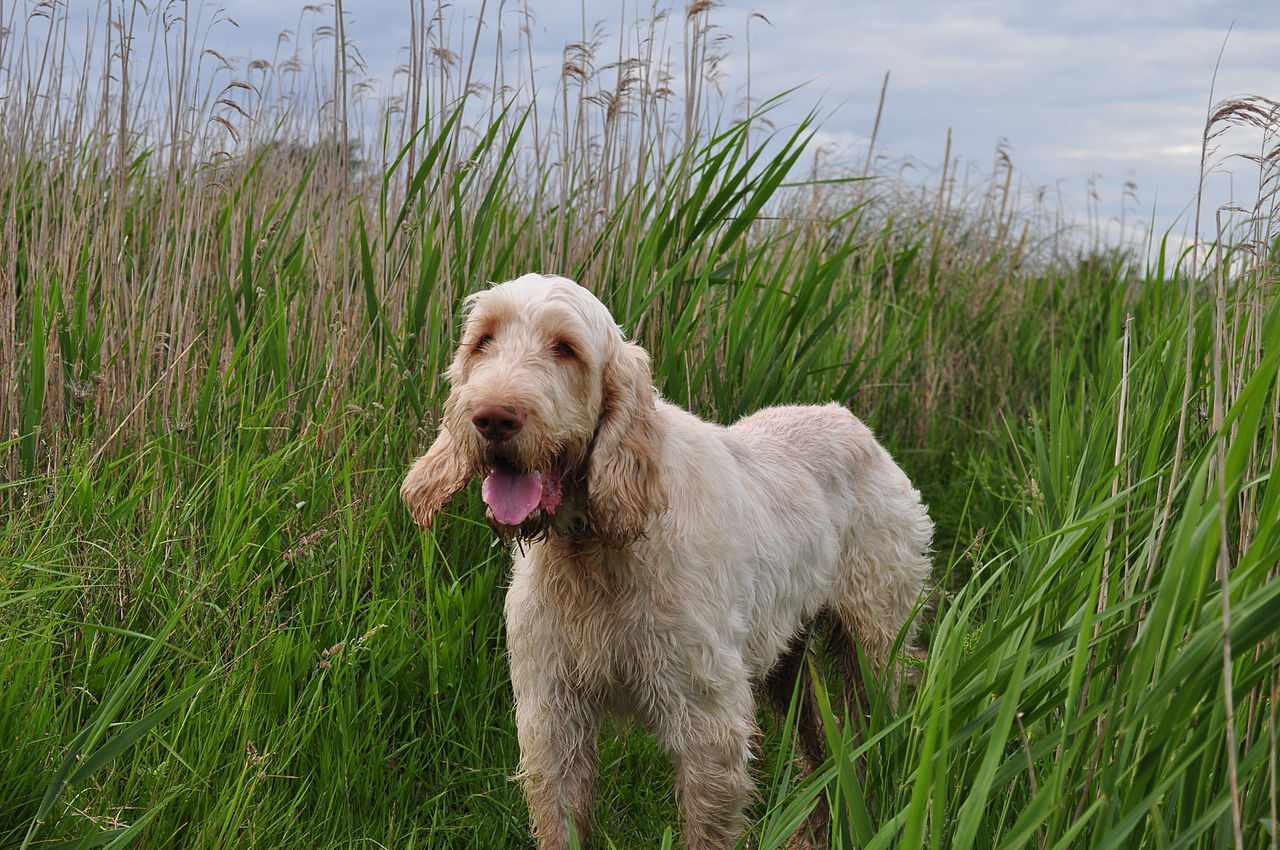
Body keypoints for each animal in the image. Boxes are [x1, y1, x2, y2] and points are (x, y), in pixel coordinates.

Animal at [399, 275, 931, 844]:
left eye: (565, 348)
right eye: (483, 340)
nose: (493, 418)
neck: (593, 550)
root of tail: (852, 422)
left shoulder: (708, 723)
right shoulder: (553, 718)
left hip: (877, 649)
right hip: (787, 666)